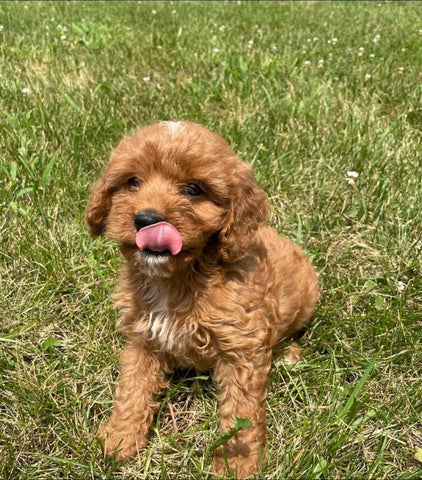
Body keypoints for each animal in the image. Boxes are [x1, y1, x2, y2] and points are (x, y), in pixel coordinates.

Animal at [85, 120, 316, 476]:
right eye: (132, 181)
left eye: (194, 189)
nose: (146, 220)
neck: (177, 277)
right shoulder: (143, 338)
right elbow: (133, 388)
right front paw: (120, 439)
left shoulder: (241, 348)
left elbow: (241, 411)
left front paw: (238, 463)